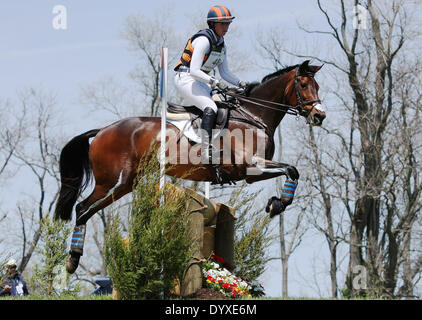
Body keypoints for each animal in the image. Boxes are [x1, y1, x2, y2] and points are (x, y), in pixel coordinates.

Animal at [54, 59, 324, 272]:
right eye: (303, 85)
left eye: (317, 86)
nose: (319, 116)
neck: (252, 116)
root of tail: (102, 130)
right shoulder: (251, 165)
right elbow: (292, 169)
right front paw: (277, 205)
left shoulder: (253, 174)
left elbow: (291, 170)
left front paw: (276, 203)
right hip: (113, 182)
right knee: (82, 209)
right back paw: (72, 260)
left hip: (126, 184)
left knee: (86, 210)